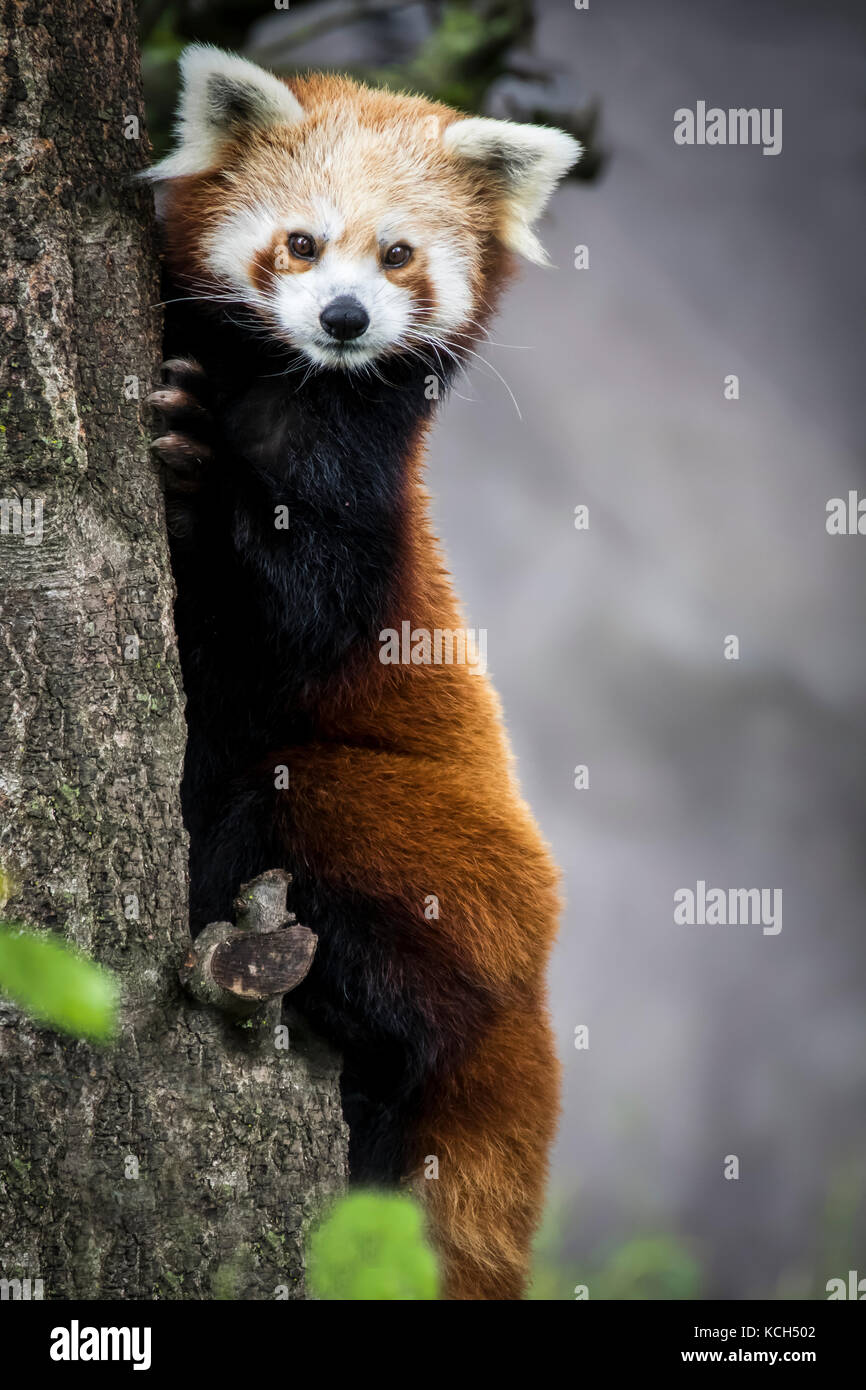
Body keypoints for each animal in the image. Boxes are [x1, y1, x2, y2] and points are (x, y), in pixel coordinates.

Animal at [147, 46, 583, 1301]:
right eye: (299, 242)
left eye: (396, 254)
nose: (344, 318)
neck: (285, 389)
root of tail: (533, 992)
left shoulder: (360, 522)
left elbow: (297, 608)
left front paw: (202, 480)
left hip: (424, 838)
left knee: (293, 811)